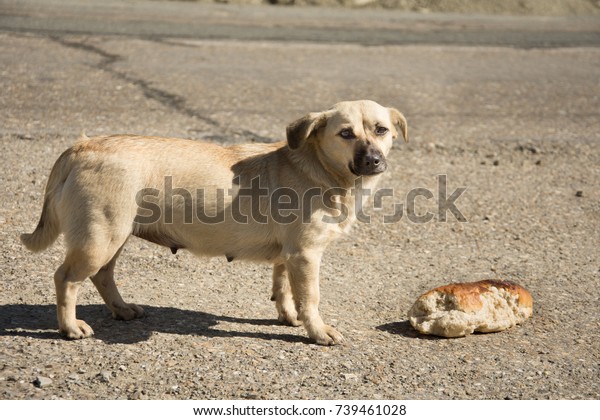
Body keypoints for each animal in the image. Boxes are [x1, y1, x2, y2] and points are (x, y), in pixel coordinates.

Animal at [22, 100, 408, 346]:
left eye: (381, 130)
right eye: (346, 134)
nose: (374, 160)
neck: (320, 167)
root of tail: (81, 146)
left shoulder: (289, 257)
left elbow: (284, 290)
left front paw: (289, 316)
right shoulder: (306, 255)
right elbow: (310, 298)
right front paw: (317, 331)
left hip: (112, 238)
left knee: (102, 276)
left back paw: (121, 309)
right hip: (99, 239)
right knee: (66, 278)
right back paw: (69, 327)